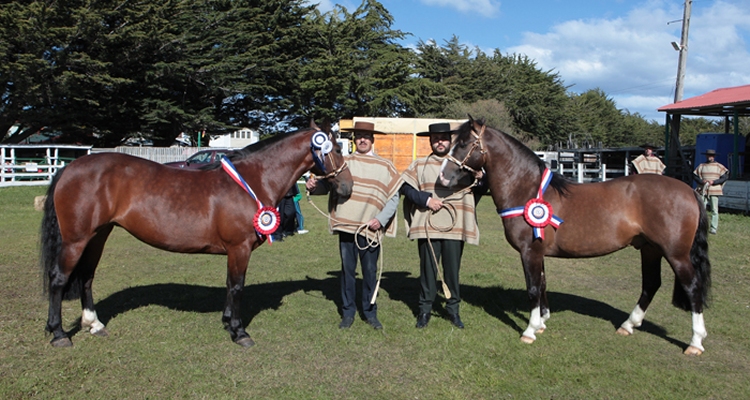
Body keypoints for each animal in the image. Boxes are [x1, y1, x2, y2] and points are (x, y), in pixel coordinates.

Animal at [41, 122, 356, 346]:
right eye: (336, 149)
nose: (347, 187)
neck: (253, 180)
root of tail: (69, 167)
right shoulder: (239, 248)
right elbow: (237, 286)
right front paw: (239, 332)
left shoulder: (234, 251)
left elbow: (230, 285)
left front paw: (228, 321)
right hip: (76, 240)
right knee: (59, 279)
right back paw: (59, 334)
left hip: (98, 236)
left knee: (86, 278)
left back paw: (94, 324)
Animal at [444, 117, 712, 354]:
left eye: (464, 144)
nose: (444, 177)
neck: (526, 189)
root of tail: (689, 191)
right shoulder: (538, 252)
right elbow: (542, 284)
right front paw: (542, 323)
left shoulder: (530, 252)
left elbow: (533, 288)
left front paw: (530, 330)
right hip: (650, 249)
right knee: (651, 284)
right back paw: (628, 325)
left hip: (676, 254)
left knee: (692, 286)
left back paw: (695, 342)